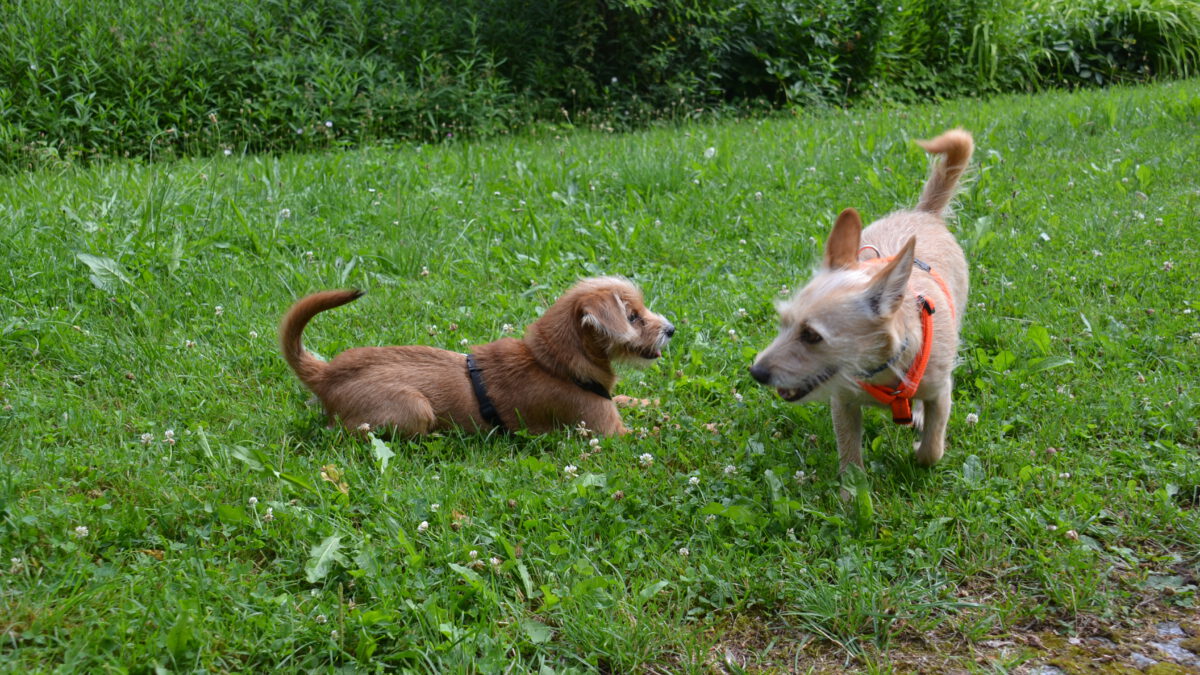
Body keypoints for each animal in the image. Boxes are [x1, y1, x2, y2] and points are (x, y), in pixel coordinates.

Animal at [279, 276, 676, 432]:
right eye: (633, 317)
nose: (671, 329)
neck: (553, 363)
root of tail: (326, 374)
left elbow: (631, 400)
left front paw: (657, 405)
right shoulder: (607, 431)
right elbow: (650, 433)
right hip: (414, 408)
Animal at [748, 128, 974, 470]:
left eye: (812, 335)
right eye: (782, 323)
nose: (756, 372)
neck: (881, 369)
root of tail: (924, 213)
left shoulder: (941, 392)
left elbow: (932, 450)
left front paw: (920, 450)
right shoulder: (843, 404)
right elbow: (850, 456)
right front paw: (853, 484)